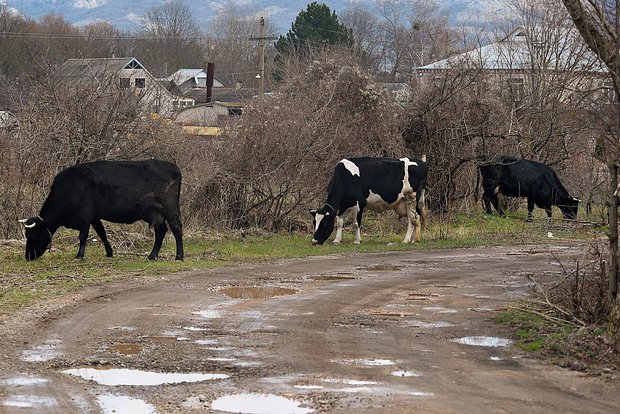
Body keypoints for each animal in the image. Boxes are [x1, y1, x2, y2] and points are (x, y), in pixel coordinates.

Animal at [18, 160, 184, 260]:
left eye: (32, 236)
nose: (27, 257)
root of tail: (173, 166)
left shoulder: (85, 215)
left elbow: (83, 236)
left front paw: (79, 255)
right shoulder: (94, 216)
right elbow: (102, 233)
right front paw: (109, 253)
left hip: (170, 208)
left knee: (176, 229)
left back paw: (179, 256)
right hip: (155, 213)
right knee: (161, 231)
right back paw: (152, 255)